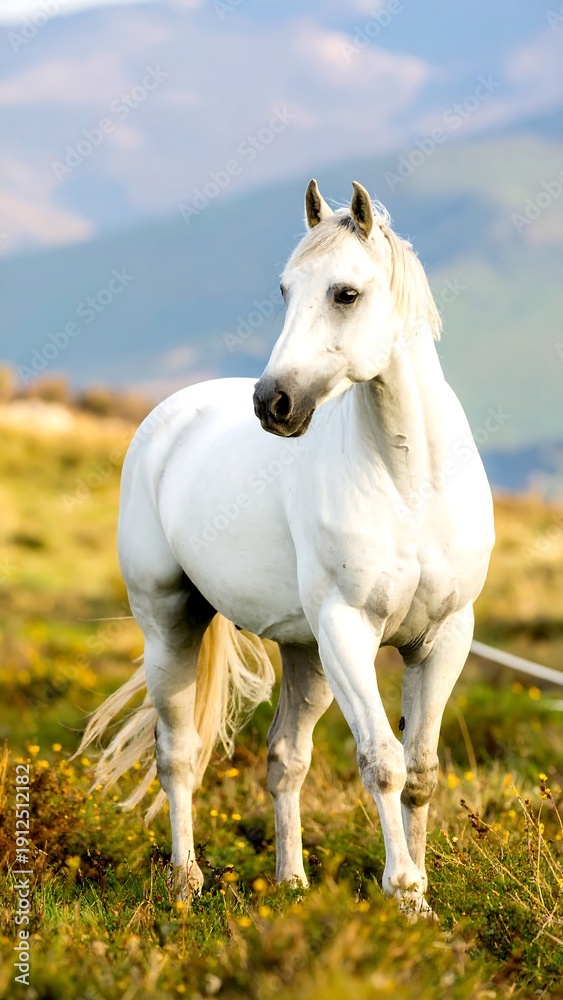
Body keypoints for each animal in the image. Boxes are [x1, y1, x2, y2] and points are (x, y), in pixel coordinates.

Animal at [78, 180, 495, 914]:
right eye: (283, 289)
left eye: (345, 293)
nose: (273, 403)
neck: (410, 482)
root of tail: (170, 416)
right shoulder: (350, 632)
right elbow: (382, 763)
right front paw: (401, 890)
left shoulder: (443, 637)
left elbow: (419, 771)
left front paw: (420, 903)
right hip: (172, 624)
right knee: (178, 753)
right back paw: (185, 882)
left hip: (308, 654)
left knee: (284, 758)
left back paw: (292, 881)